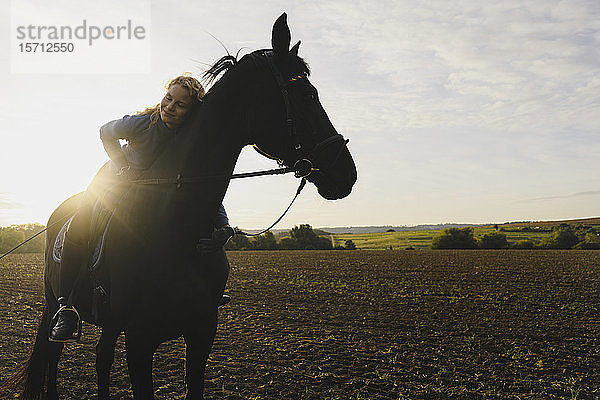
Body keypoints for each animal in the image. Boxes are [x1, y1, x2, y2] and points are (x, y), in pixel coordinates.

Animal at [3, 13, 356, 400]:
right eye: (308, 95)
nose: (346, 171)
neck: (173, 225)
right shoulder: (140, 339)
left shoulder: (201, 331)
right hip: (57, 305)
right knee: (53, 358)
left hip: (111, 321)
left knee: (101, 356)